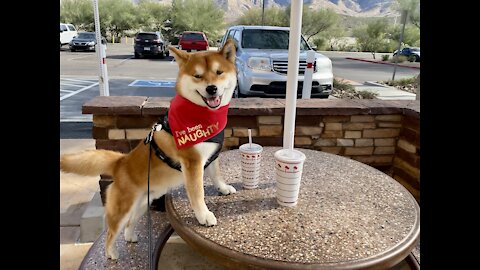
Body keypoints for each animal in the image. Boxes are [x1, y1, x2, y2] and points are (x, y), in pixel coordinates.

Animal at [61, 39, 237, 260]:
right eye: (198, 76)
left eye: (219, 72)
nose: (212, 88)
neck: (204, 116)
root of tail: (120, 162)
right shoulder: (192, 163)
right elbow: (198, 194)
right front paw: (204, 216)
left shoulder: (211, 155)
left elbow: (216, 175)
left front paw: (223, 188)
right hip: (123, 207)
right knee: (111, 231)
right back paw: (111, 253)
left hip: (143, 203)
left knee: (129, 224)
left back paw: (130, 237)